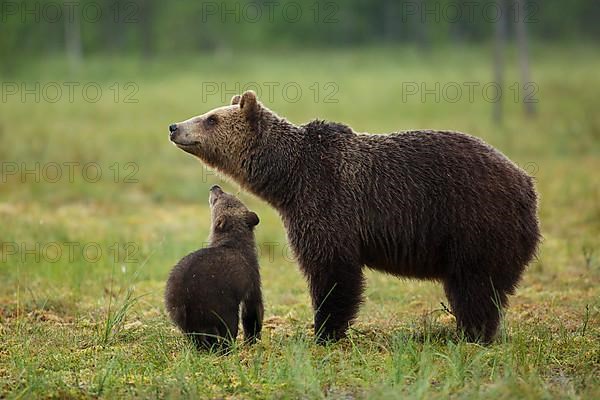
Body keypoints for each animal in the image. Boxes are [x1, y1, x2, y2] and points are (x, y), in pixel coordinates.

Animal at [168, 90, 540, 344]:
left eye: (212, 118)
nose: (174, 126)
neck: (288, 178)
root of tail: (526, 183)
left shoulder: (327, 204)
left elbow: (332, 271)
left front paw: (323, 331)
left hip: (474, 221)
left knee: (475, 285)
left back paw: (470, 334)